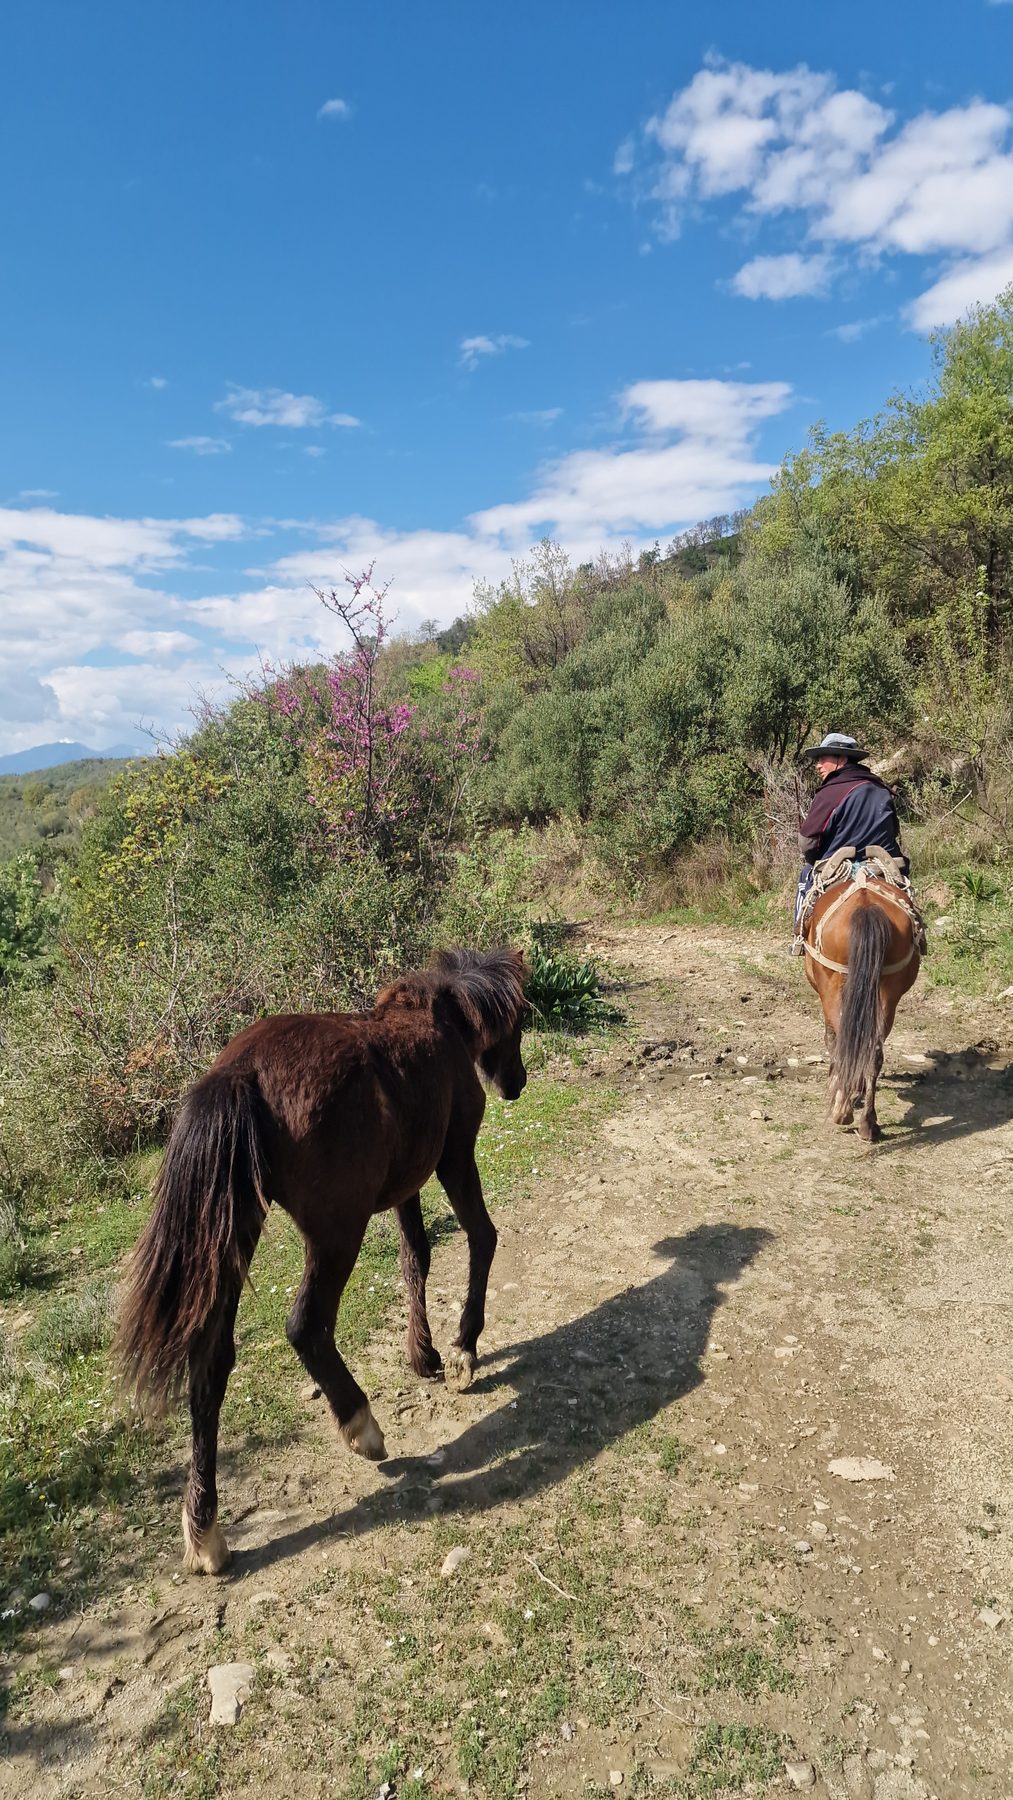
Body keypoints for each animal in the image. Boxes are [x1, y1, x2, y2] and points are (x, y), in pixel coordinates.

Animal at [116, 946, 528, 1576]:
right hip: (336, 1234)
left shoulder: (404, 1184)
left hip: (237, 1236)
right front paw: (462, 1349)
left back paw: (205, 1531)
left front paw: (424, 1355)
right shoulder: (453, 1157)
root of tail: (239, 1075)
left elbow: (416, 1257)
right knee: (306, 1326)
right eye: (522, 1019)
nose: (516, 1083)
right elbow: (480, 1238)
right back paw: (362, 1427)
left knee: (210, 1363)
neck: (444, 1022)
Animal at [802, 877, 920, 1142]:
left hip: (832, 984)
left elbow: (832, 1038)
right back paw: (868, 1123)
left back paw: (842, 1109)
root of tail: (866, 906)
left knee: (843, 1040)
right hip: (888, 988)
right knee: (873, 1049)